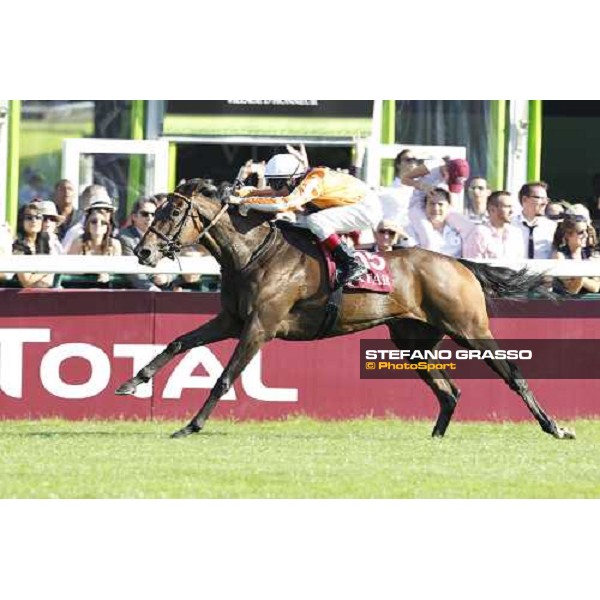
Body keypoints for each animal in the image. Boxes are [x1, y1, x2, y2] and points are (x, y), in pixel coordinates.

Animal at [117, 178, 576, 440]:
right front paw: (132, 382)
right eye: (157, 209)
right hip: (413, 342)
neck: (254, 254)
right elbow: (177, 342)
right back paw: (435, 439)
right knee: (450, 392)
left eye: (175, 210)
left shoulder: (260, 325)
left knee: (513, 374)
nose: (143, 251)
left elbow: (225, 377)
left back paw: (555, 427)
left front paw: (191, 425)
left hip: (470, 329)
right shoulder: (231, 319)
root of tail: (459, 262)